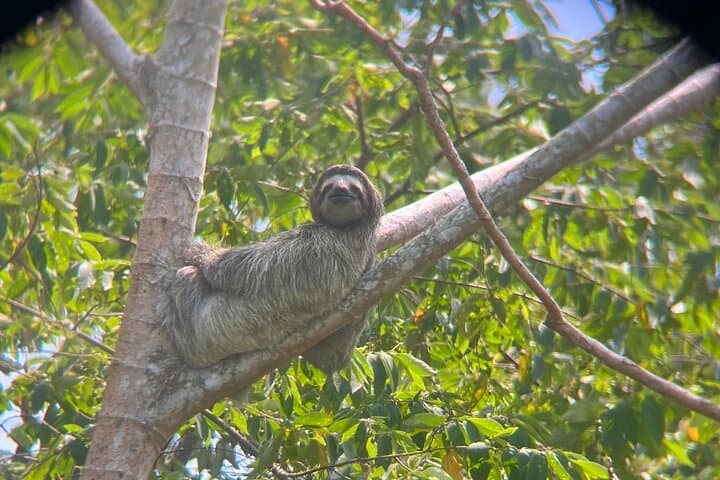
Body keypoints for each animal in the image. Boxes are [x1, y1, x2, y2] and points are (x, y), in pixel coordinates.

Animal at [163, 165, 384, 374]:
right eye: (329, 186)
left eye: (354, 187)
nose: (340, 190)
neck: (345, 229)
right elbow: (332, 356)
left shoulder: (312, 242)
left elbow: (251, 266)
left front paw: (202, 252)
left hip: (214, 332)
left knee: (186, 278)